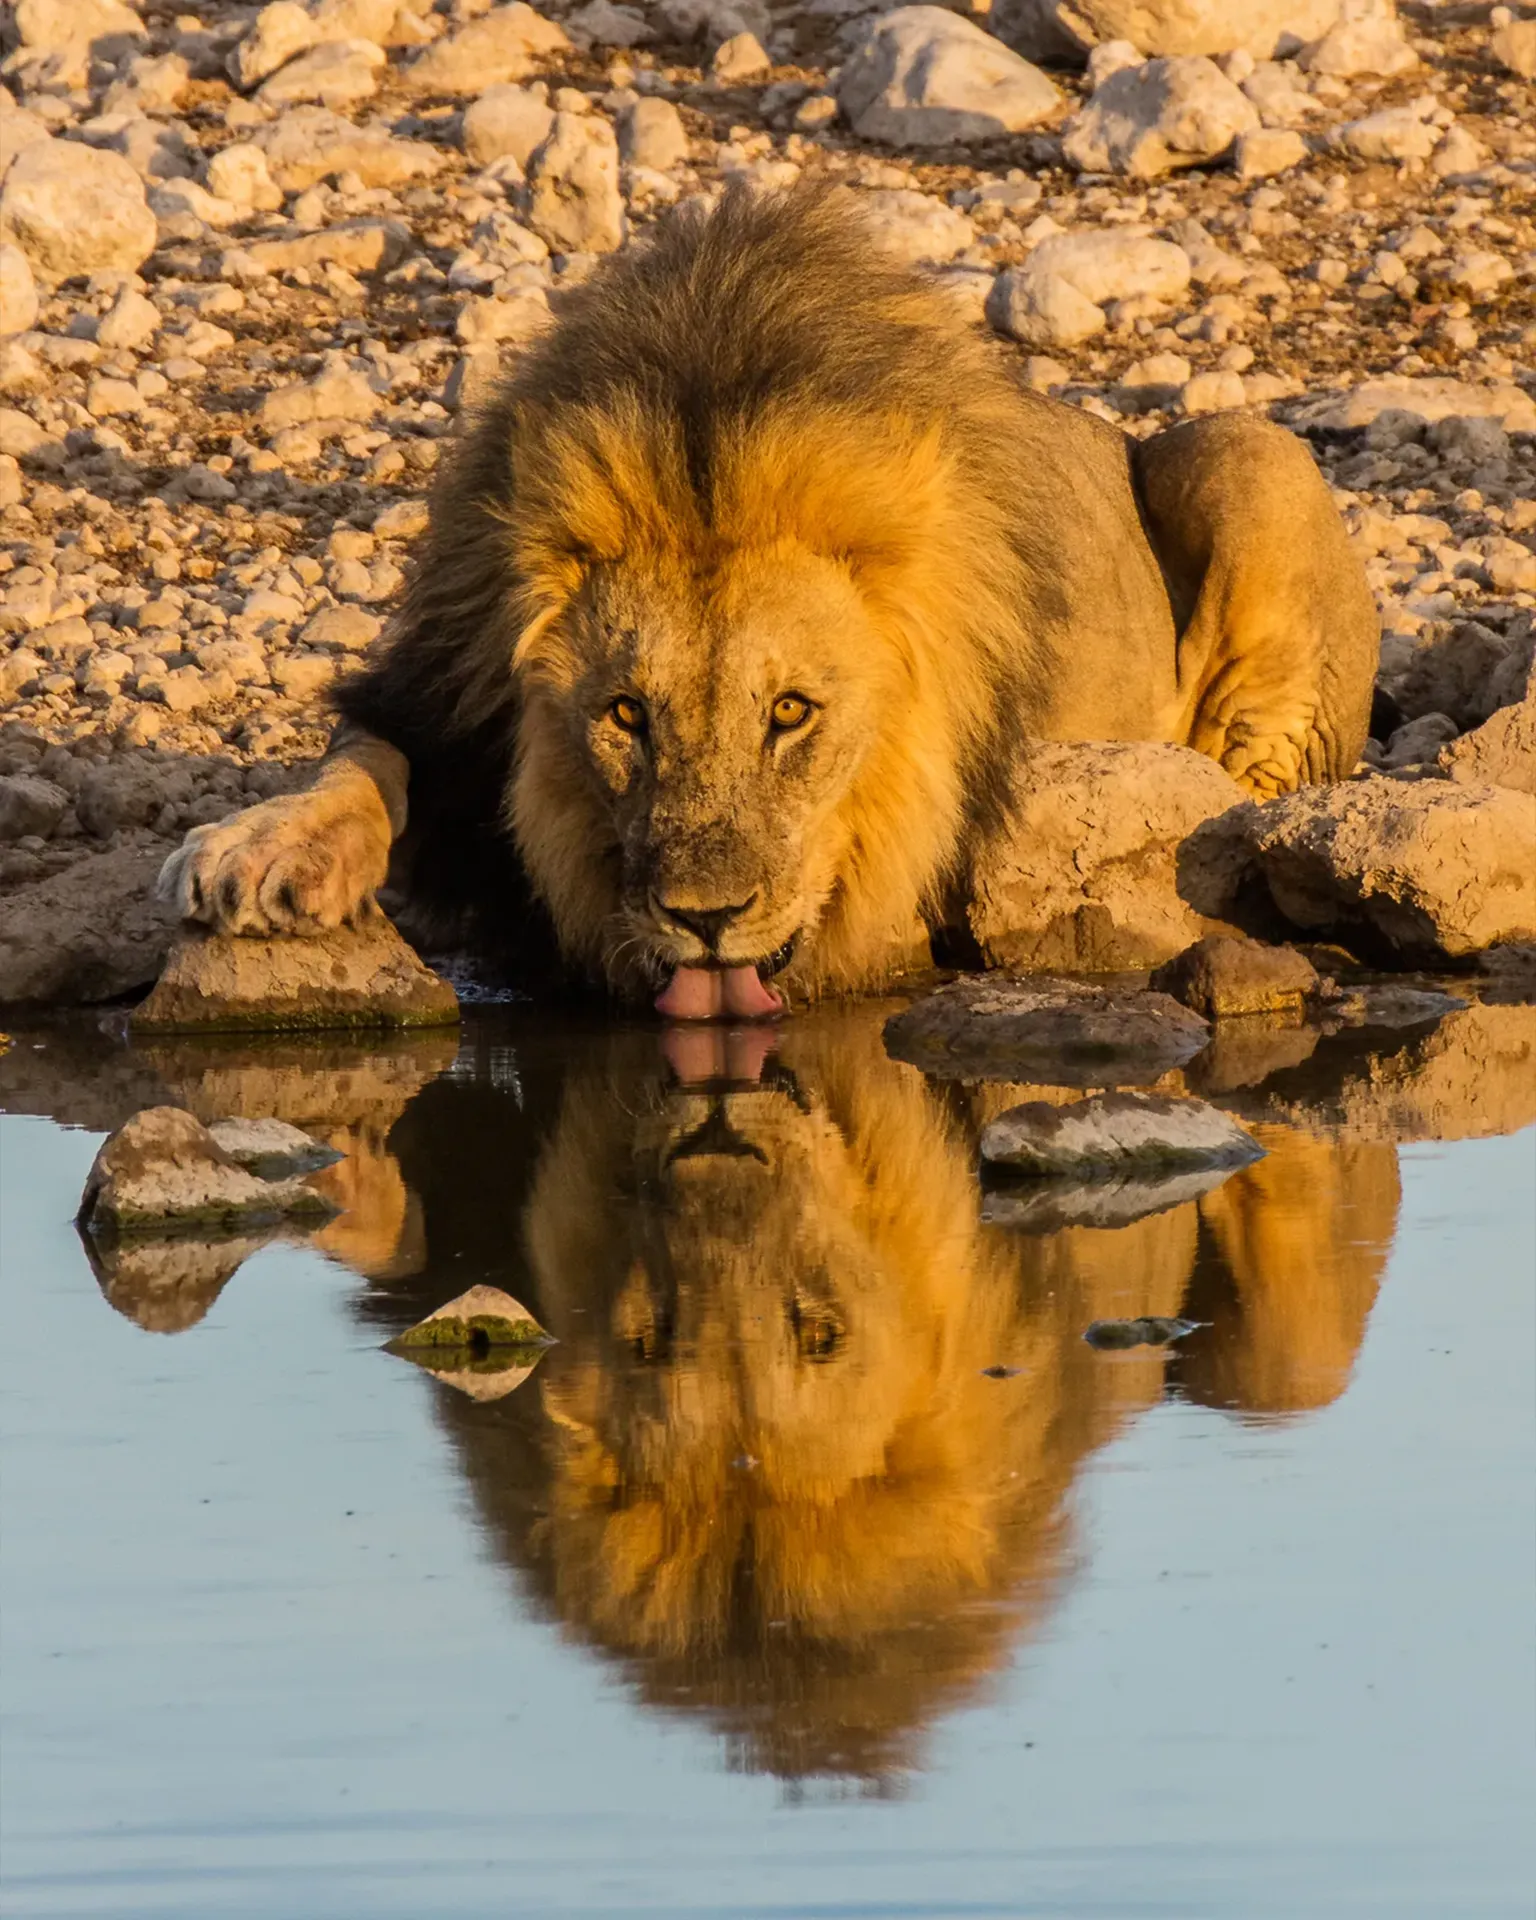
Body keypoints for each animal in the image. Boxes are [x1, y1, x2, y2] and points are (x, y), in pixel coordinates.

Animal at [160, 184, 1380, 1013]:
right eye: (625, 715)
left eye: (791, 713)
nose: (704, 922)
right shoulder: (446, 694)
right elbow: (361, 761)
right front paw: (260, 853)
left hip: (1250, 452)